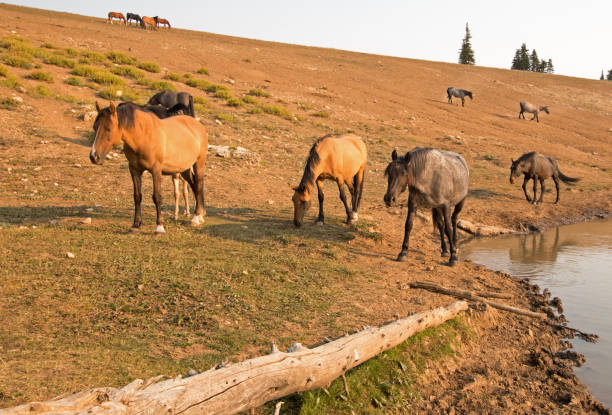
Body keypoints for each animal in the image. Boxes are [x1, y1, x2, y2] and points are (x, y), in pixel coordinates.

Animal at [89, 99, 208, 232]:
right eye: (94, 127)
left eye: (108, 128)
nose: (94, 156)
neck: (142, 137)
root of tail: (196, 124)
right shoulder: (134, 170)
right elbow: (137, 196)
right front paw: (136, 224)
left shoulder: (156, 170)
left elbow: (157, 197)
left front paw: (159, 227)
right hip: (184, 168)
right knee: (194, 184)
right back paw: (199, 215)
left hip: (199, 163)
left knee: (199, 185)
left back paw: (196, 218)